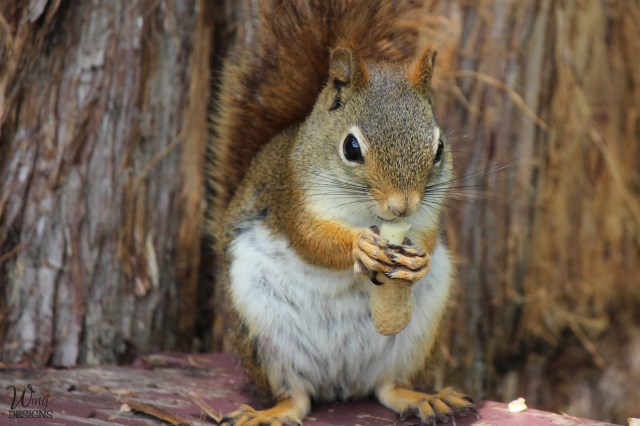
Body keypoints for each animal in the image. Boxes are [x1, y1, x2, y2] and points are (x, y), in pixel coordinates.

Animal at [209, 1, 476, 424]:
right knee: (295, 395)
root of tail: (341, 382)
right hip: (263, 330)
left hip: (415, 334)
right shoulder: (293, 196)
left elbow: (429, 238)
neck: (367, 215)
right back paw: (272, 412)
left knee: (388, 386)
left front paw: (417, 261)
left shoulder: (428, 212)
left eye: (439, 148)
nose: (402, 205)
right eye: (351, 147)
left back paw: (423, 399)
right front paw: (360, 247)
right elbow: (311, 240)